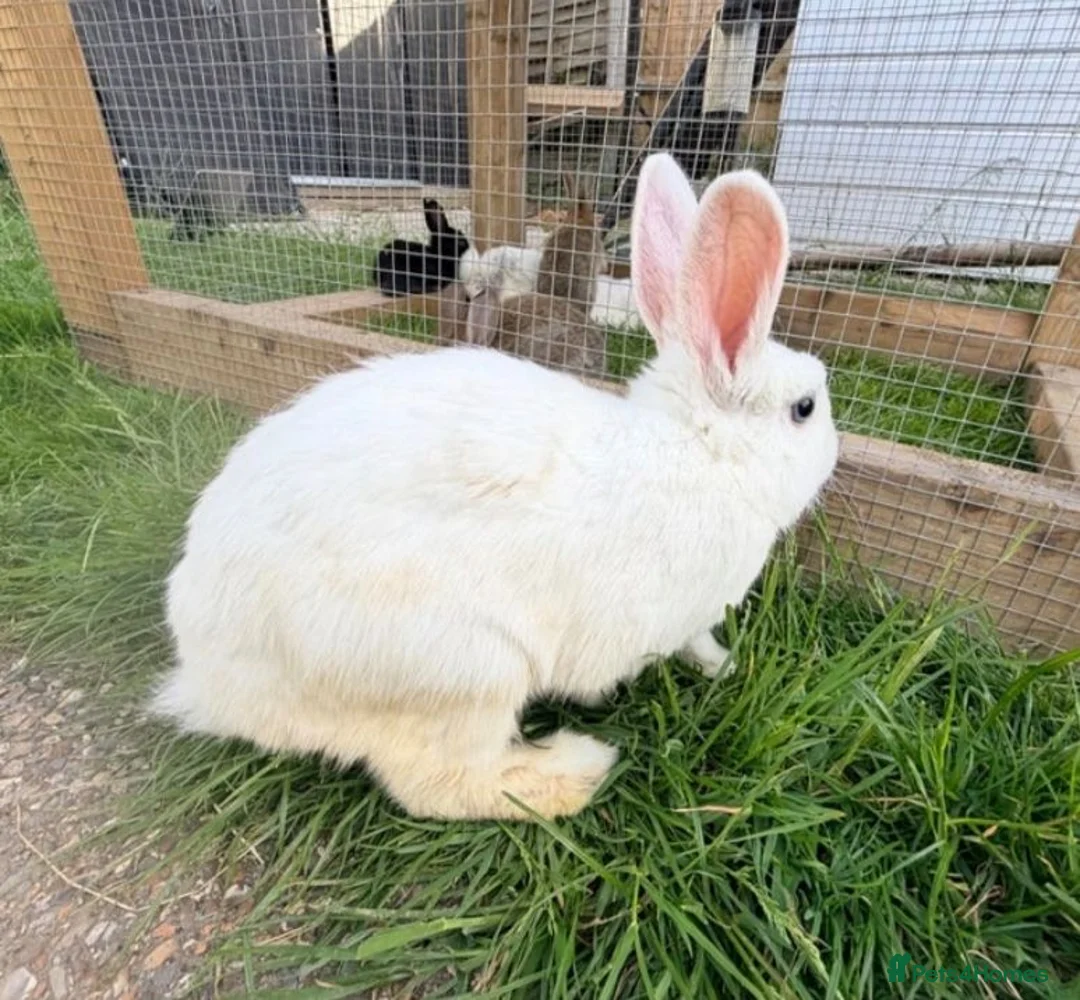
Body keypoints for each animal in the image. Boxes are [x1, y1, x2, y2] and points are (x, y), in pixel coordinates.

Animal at [152, 154, 839, 823]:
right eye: (805, 408)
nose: (836, 451)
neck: (701, 450)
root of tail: (215, 684)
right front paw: (724, 666)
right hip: (469, 669)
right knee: (439, 784)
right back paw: (577, 768)